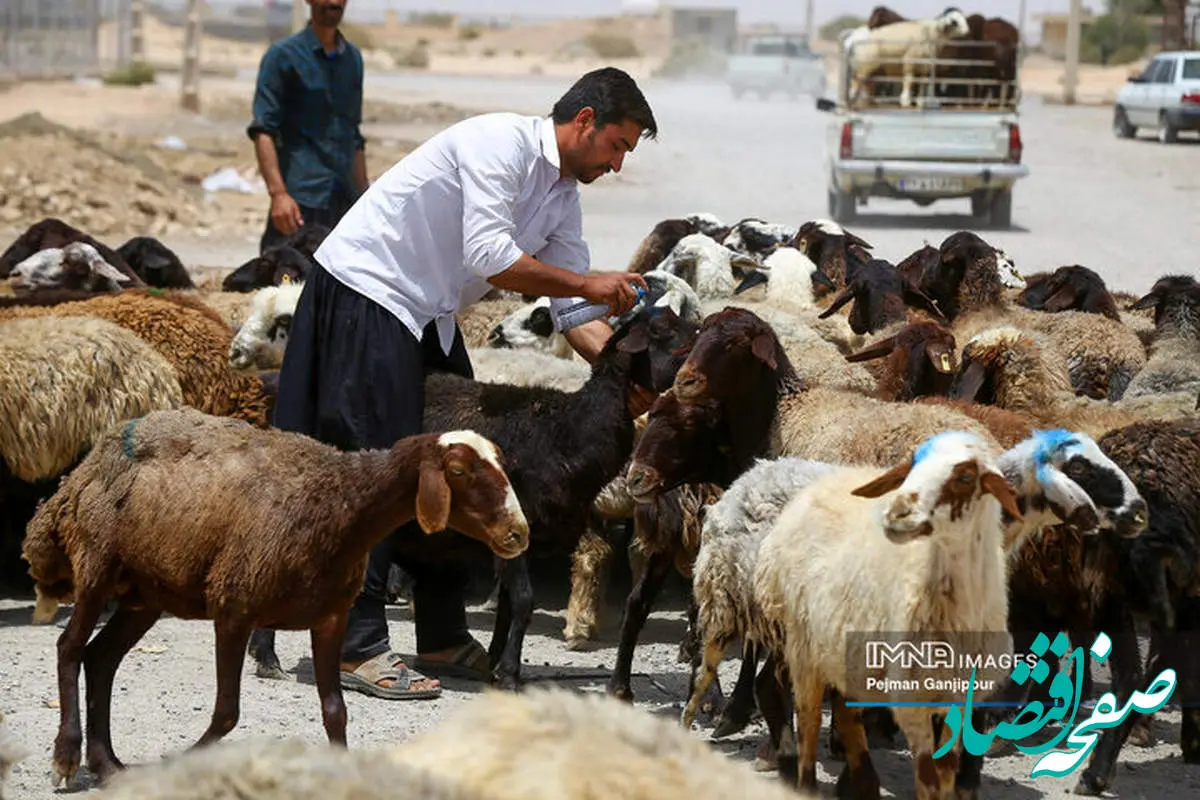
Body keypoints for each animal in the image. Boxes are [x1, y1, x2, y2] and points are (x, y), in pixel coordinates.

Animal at [22, 410, 530, 791]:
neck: (341, 505)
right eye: (459, 472)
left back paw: (107, 765)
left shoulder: (330, 617)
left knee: (101, 660)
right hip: (97, 568)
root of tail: (84, 468)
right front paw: (183, 762)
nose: (519, 533)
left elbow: (335, 712)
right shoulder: (234, 607)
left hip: (143, 593)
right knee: (69, 648)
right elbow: (227, 713)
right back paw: (66, 757)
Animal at [748, 431, 1022, 800]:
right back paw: (809, 782)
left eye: (965, 477)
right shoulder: (911, 701)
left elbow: (946, 774)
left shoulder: (958, 698)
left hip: (845, 647)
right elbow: (928, 780)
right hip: (804, 646)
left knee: (846, 715)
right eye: (913, 463)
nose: (898, 511)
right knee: (809, 724)